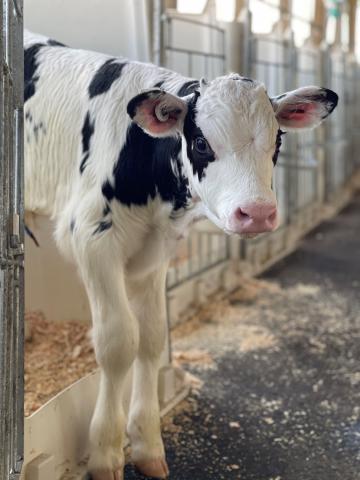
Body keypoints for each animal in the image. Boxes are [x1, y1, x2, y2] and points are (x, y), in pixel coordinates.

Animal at [24, 30, 338, 480]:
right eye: (202, 142)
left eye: (277, 140)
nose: (257, 212)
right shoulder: (92, 239)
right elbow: (119, 342)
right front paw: (106, 452)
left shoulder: (155, 250)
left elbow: (153, 337)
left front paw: (147, 444)